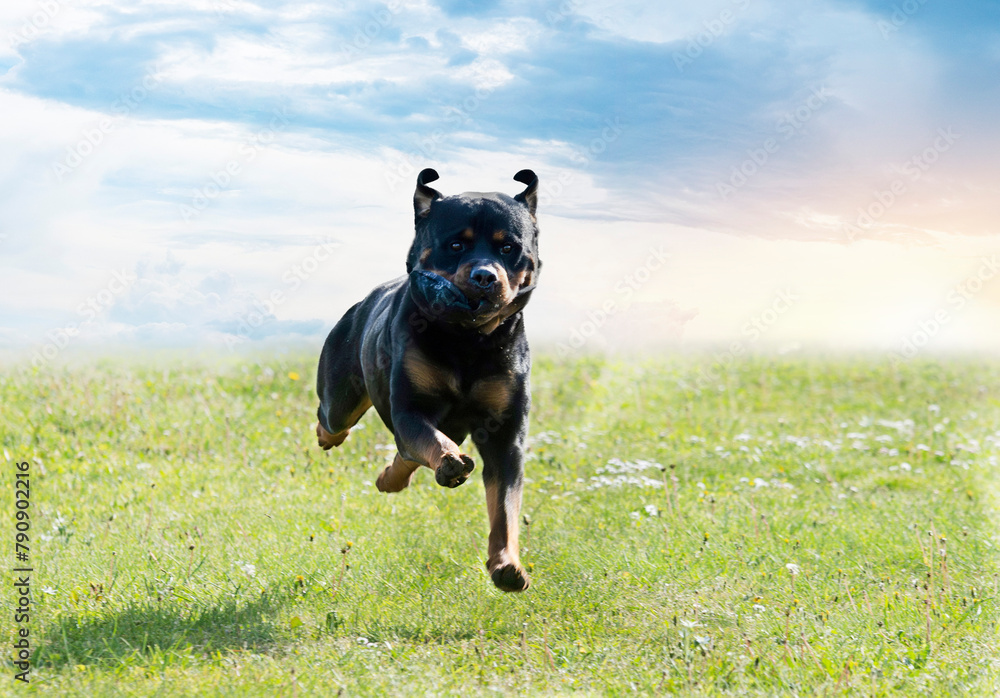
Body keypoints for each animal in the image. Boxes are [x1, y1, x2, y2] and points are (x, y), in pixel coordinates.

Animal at [318, 167, 540, 588]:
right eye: (455, 245)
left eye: (508, 248)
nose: (485, 276)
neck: (468, 340)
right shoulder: (411, 410)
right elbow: (430, 439)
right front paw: (450, 461)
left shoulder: (506, 434)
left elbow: (505, 505)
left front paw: (506, 564)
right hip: (340, 397)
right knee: (336, 421)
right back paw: (331, 438)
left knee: (405, 456)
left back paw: (390, 478)